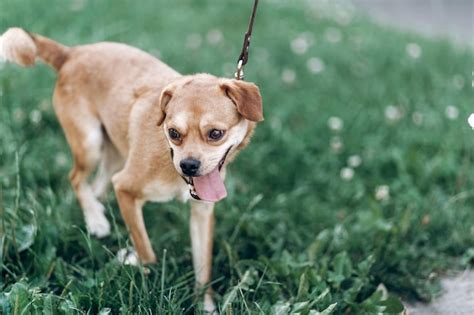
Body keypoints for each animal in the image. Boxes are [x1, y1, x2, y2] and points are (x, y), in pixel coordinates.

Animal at [0, 27, 262, 314]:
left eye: (216, 134)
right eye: (174, 133)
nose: (188, 165)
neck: (169, 158)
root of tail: (73, 53)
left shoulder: (202, 212)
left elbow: (203, 270)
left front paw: (205, 306)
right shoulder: (125, 187)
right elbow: (147, 252)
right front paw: (135, 262)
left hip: (114, 153)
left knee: (96, 187)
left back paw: (95, 214)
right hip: (90, 145)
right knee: (76, 179)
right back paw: (96, 220)